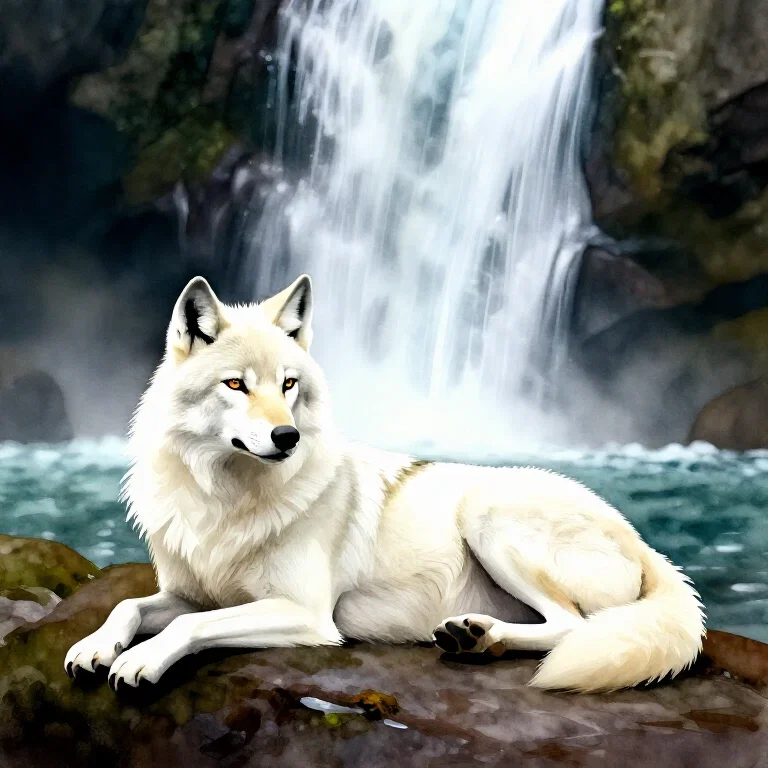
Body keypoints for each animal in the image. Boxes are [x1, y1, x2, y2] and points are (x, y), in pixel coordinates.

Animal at [65, 275, 705, 693]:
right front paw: (95, 646)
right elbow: (129, 603)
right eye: (236, 385)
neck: (223, 499)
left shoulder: (307, 614)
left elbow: (192, 624)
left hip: (486, 512)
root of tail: (644, 544)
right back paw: (474, 636)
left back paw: (479, 638)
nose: (286, 436)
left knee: (575, 626)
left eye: (289, 384)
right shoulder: (190, 590)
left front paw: (141, 660)